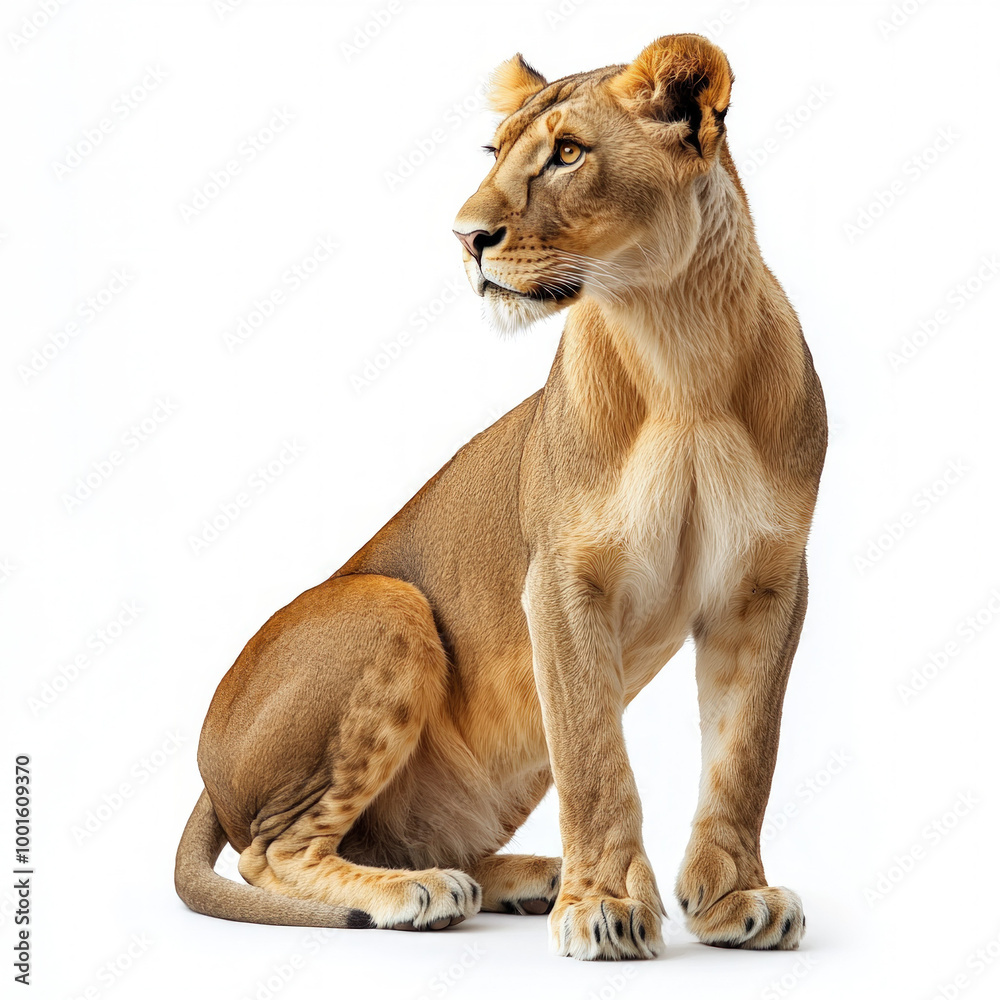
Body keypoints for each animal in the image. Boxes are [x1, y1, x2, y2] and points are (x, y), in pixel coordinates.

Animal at [175, 33, 826, 961]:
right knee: (271, 851)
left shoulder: (766, 581)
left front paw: (735, 897)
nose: (464, 236)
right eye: (495, 151)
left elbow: (746, 751)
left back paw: (522, 876)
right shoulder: (561, 580)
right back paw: (418, 893)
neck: (679, 351)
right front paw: (605, 907)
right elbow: (593, 757)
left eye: (568, 153)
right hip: (388, 602)